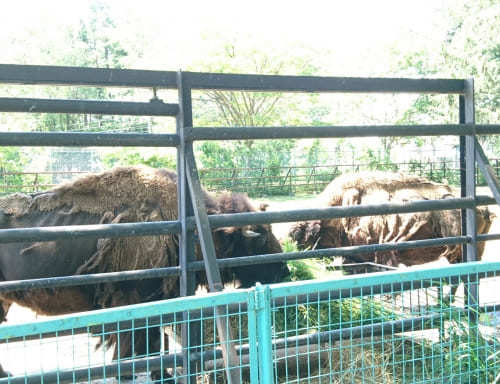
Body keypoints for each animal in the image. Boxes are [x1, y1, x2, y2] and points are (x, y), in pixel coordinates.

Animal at [0, 166, 290, 378]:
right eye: (260, 240)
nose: (284, 273)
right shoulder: (131, 305)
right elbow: (135, 348)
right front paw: (132, 375)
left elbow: (153, 344)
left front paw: (163, 373)